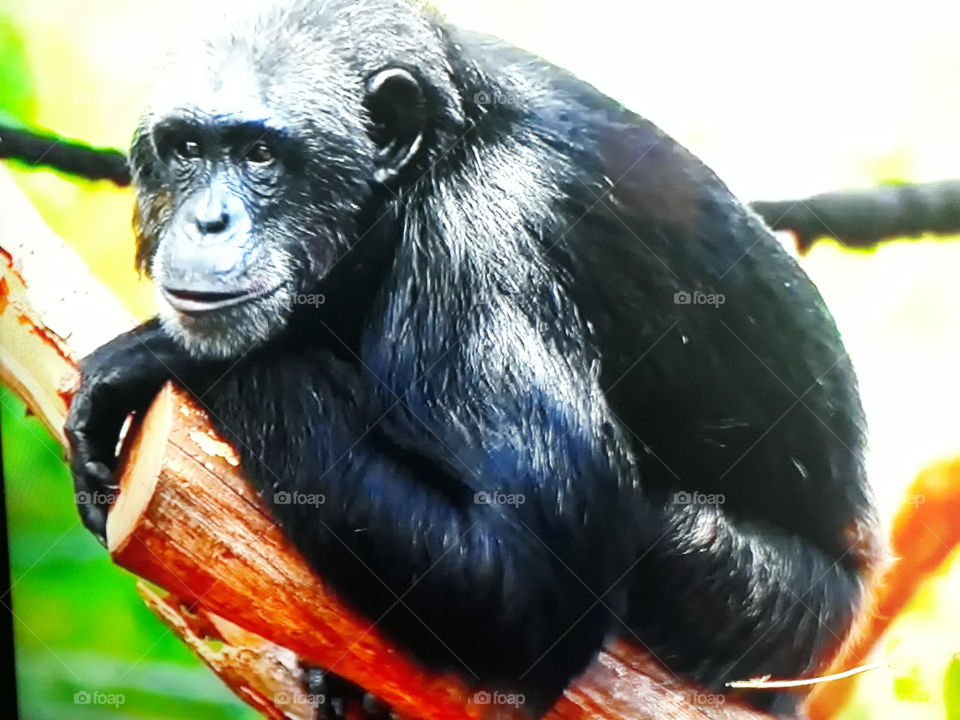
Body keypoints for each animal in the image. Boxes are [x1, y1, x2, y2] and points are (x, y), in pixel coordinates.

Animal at [64, 0, 880, 716]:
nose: (209, 219)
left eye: (261, 154)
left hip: (769, 612)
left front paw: (147, 358)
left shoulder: (484, 240)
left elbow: (526, 584)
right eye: (187, 149)